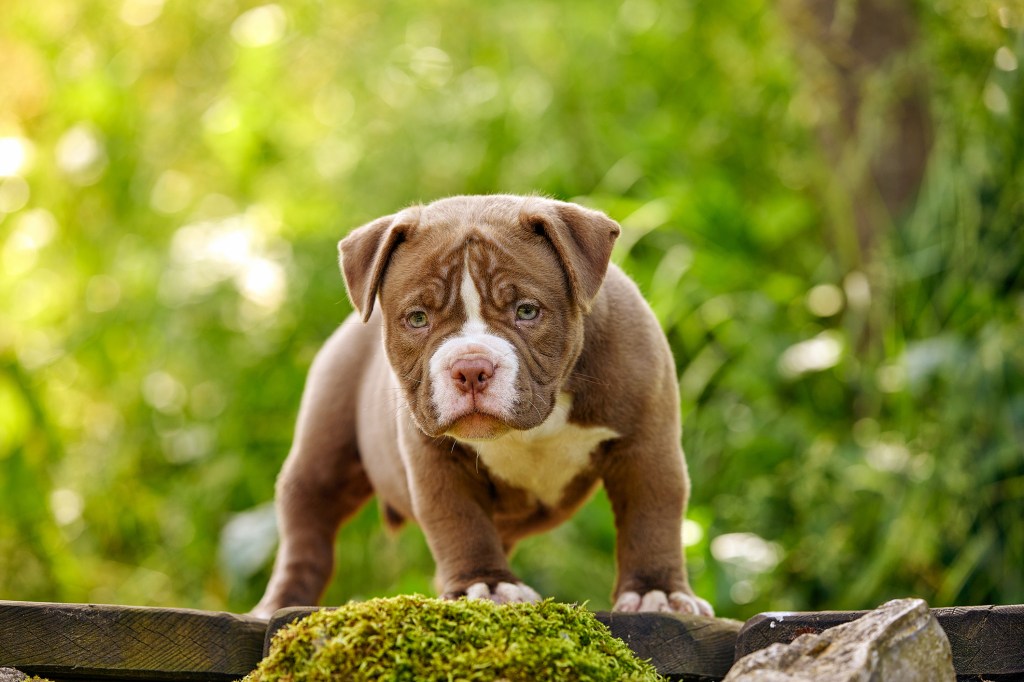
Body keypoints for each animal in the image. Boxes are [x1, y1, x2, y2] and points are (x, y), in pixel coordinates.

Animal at [250, 192, 712, 614]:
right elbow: (460, 522)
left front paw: (657, 593)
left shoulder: (645, 444)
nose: (471, 368)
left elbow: (652, 515)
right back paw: (277, 605)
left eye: (526, 311)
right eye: (417, 318)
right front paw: (484, 585)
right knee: (306, 533)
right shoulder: (434, 458)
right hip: (323, 454)